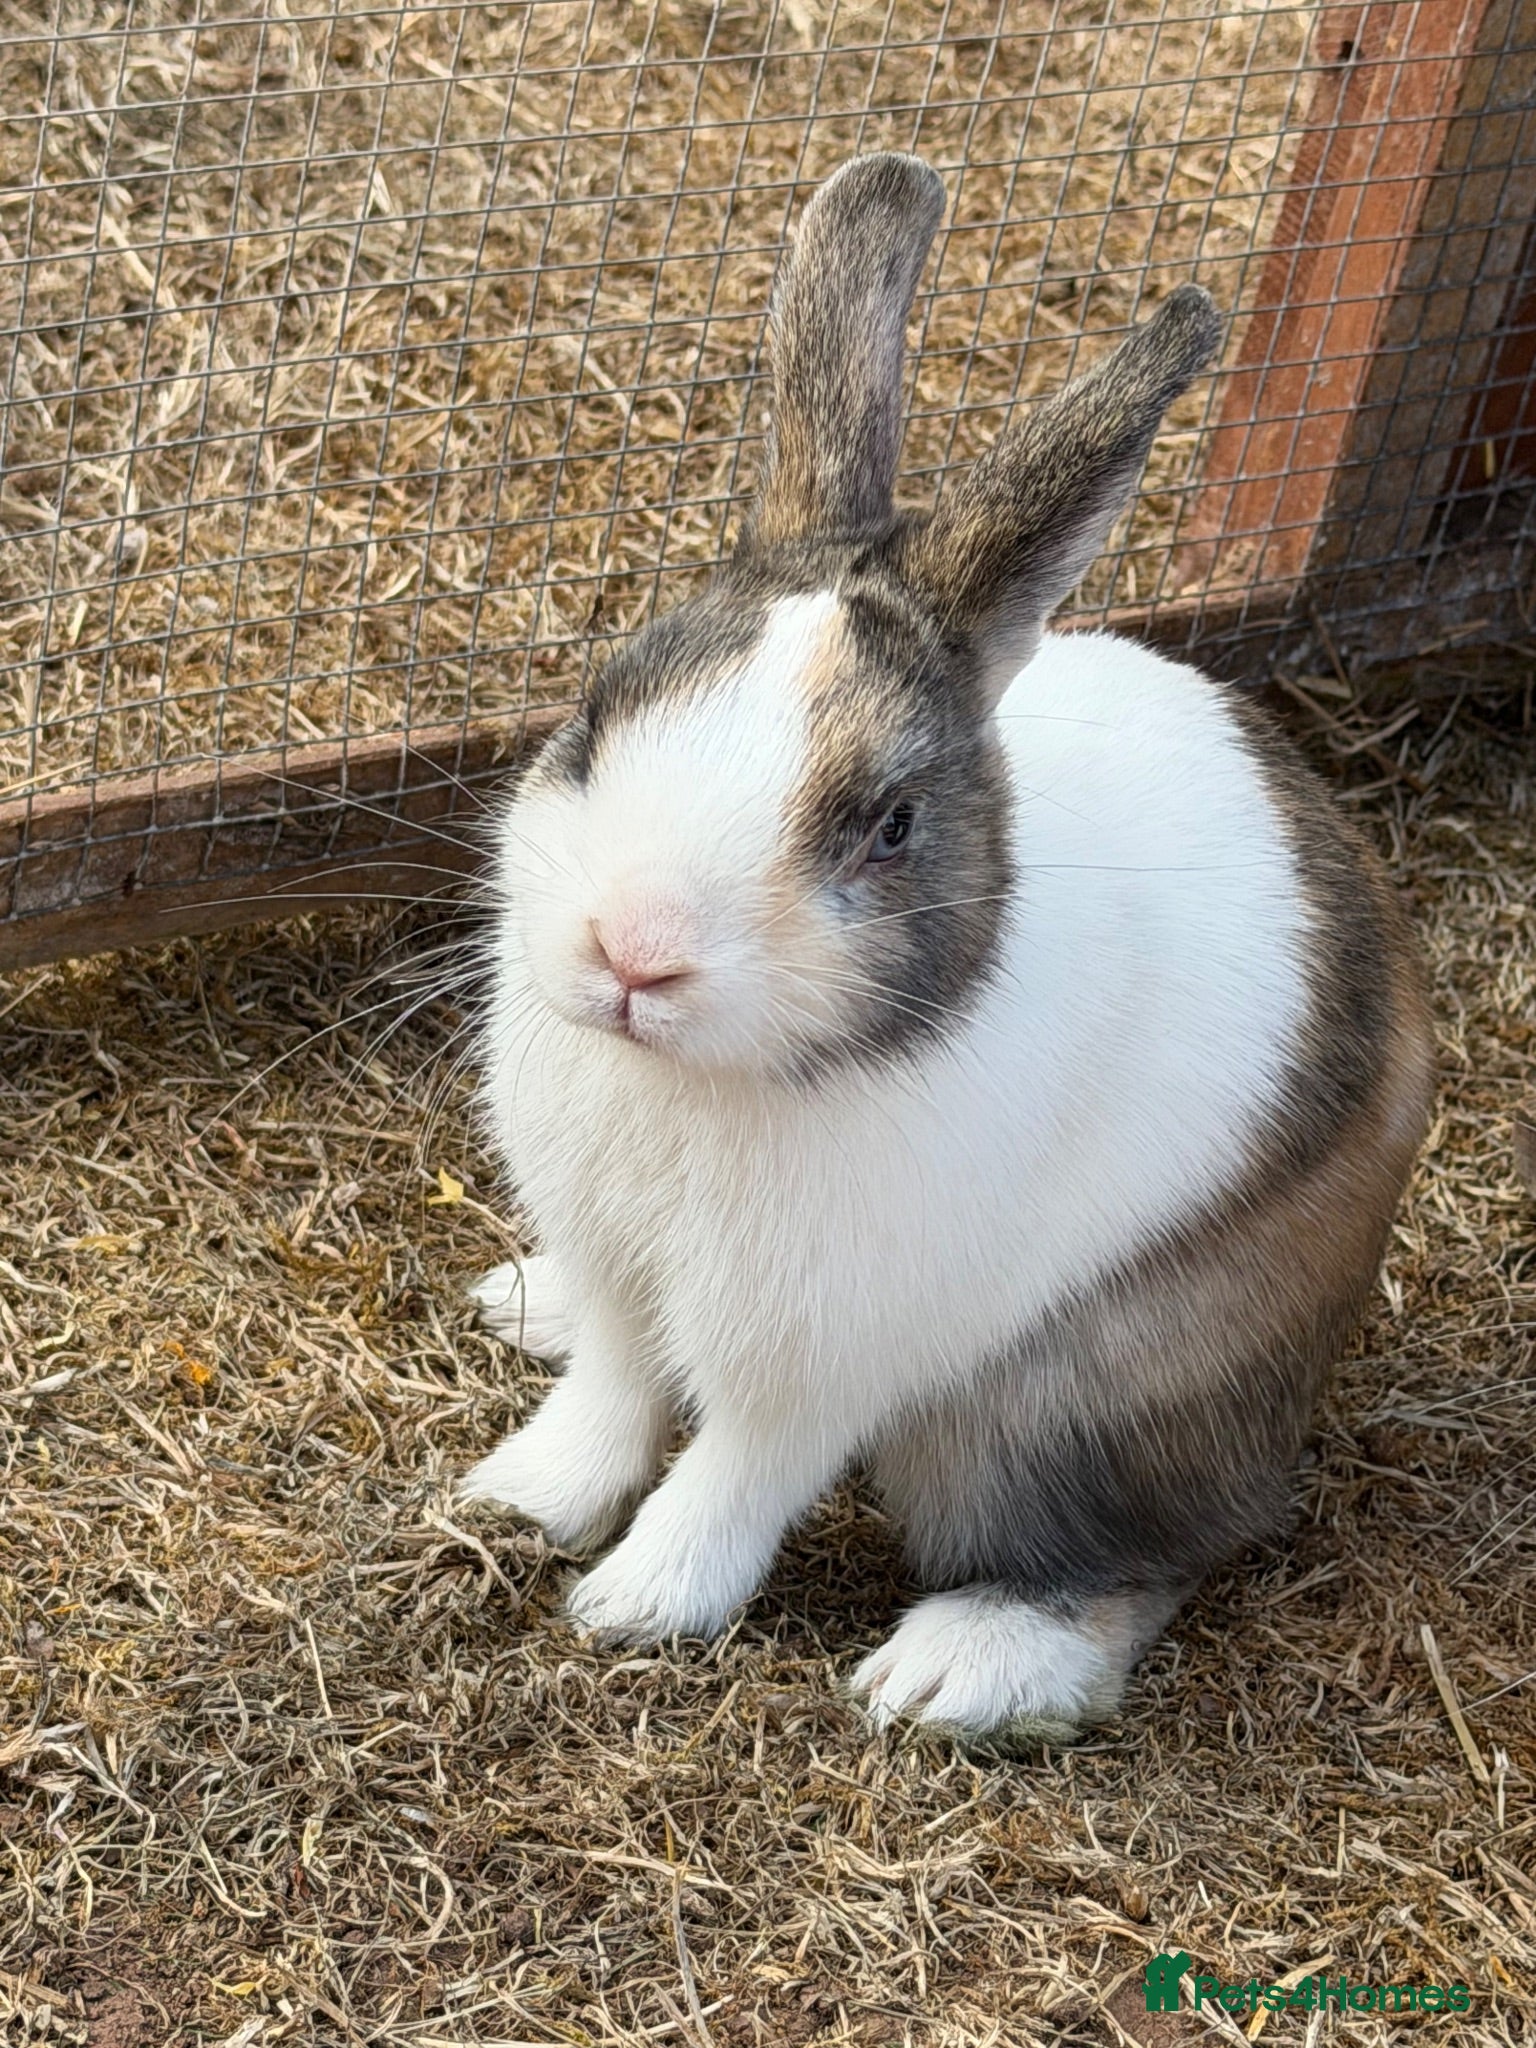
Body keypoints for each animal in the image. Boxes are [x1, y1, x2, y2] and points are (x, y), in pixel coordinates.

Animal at [457, 152, 1435, 1740]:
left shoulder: (815, 1355)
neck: (701, 1085)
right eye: (598, 713)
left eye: (891, 825)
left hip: (1063, 1419)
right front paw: (515, 1500)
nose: (633, 951)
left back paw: (959, 1667)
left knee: (1147, 1561)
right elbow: (607, 1393)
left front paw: (633, 1607)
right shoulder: (619, 1267)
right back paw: (518, 1303)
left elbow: (734, 1472)